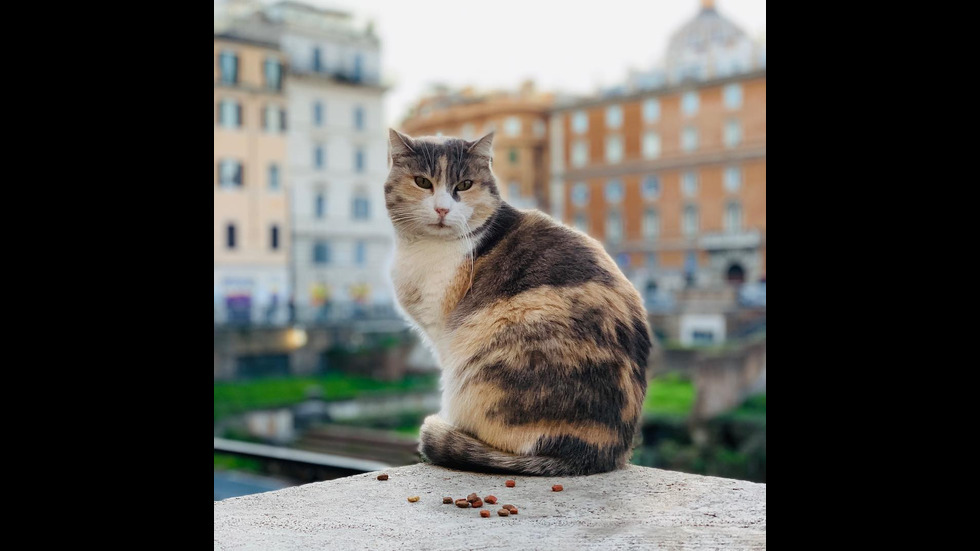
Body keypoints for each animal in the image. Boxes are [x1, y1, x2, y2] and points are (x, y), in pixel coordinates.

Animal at [382, 128, 652, 474]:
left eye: (464, 185)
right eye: (422, 182)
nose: (442, 209)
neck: (422, 248)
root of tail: (598, 453)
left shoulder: (444, 336)